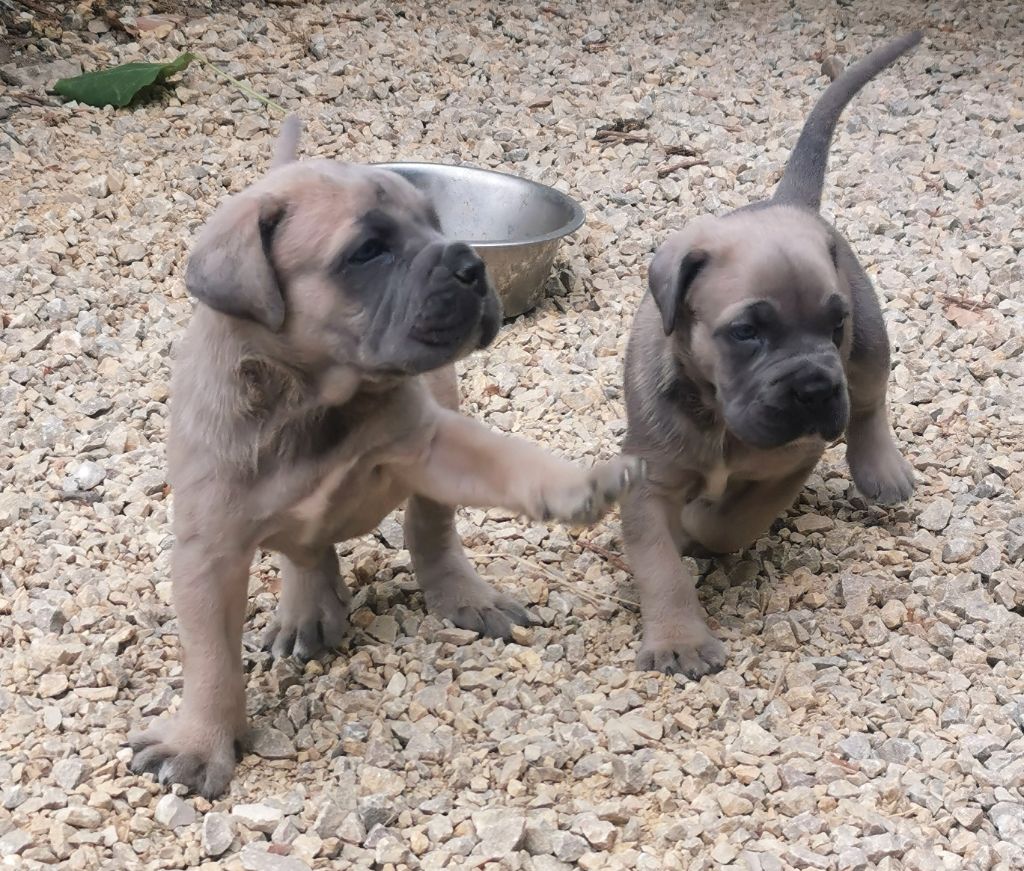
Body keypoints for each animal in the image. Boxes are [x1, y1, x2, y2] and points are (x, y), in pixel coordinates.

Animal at [125, 119, 638, 802]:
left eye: (435, 223)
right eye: (368, 251)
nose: (471, 264)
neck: (315, 400)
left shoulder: (432, 443)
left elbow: (503, 459)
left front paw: (578, 481)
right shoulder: (208, 553)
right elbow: (210, 659)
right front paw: (198, 743)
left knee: (431, 532)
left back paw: (464, 596)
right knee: (307, 550)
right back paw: (304, 611)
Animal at [618, 35, 925, 679]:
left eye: (833, 327)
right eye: (746, 332)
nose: (815, 389)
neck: (717, 416)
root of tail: (793, 204)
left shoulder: (789, 463)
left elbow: (731, 520)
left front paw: (700, 526)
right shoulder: (648, 483)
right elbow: (660, 568)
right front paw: (679, 639)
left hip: (869, 348)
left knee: (869, 404)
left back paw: (881, 469)